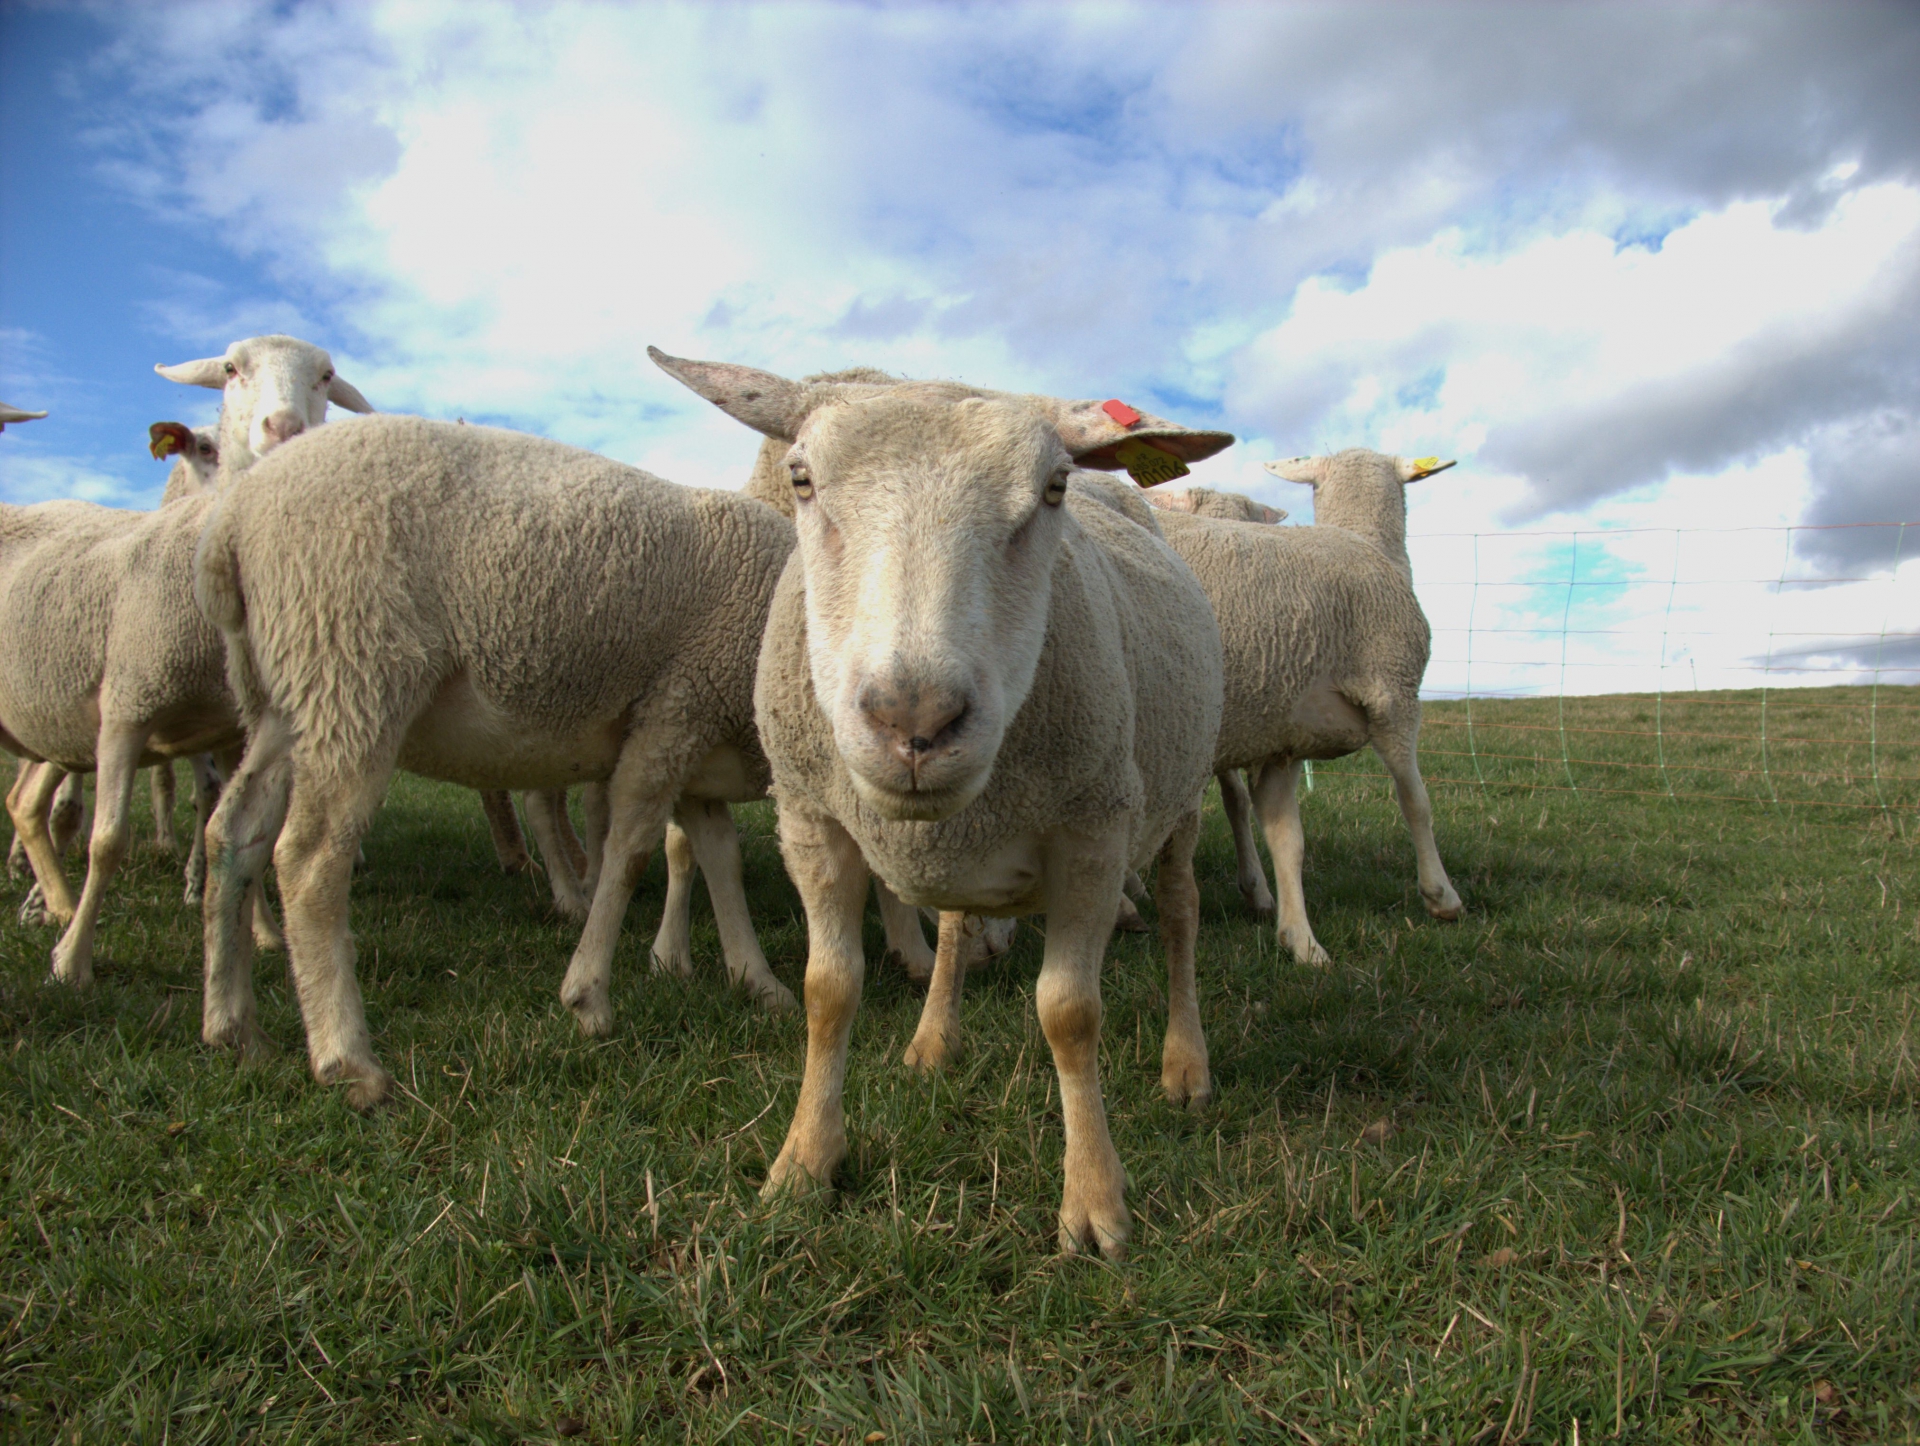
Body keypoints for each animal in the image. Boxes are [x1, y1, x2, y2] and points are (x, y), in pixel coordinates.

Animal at [664, 355, 1228, 1259]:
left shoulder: (1095, 829)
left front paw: (1095, 1202)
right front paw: (803, 1164)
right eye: (802, 478)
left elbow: (1070, 1013)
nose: (914, 719)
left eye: (1054, 488)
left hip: (1176, 794)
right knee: (960, 924)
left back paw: (1187, 1064)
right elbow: (828, 990)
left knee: (1181, 912)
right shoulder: (810, 819)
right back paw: (935, 1038)